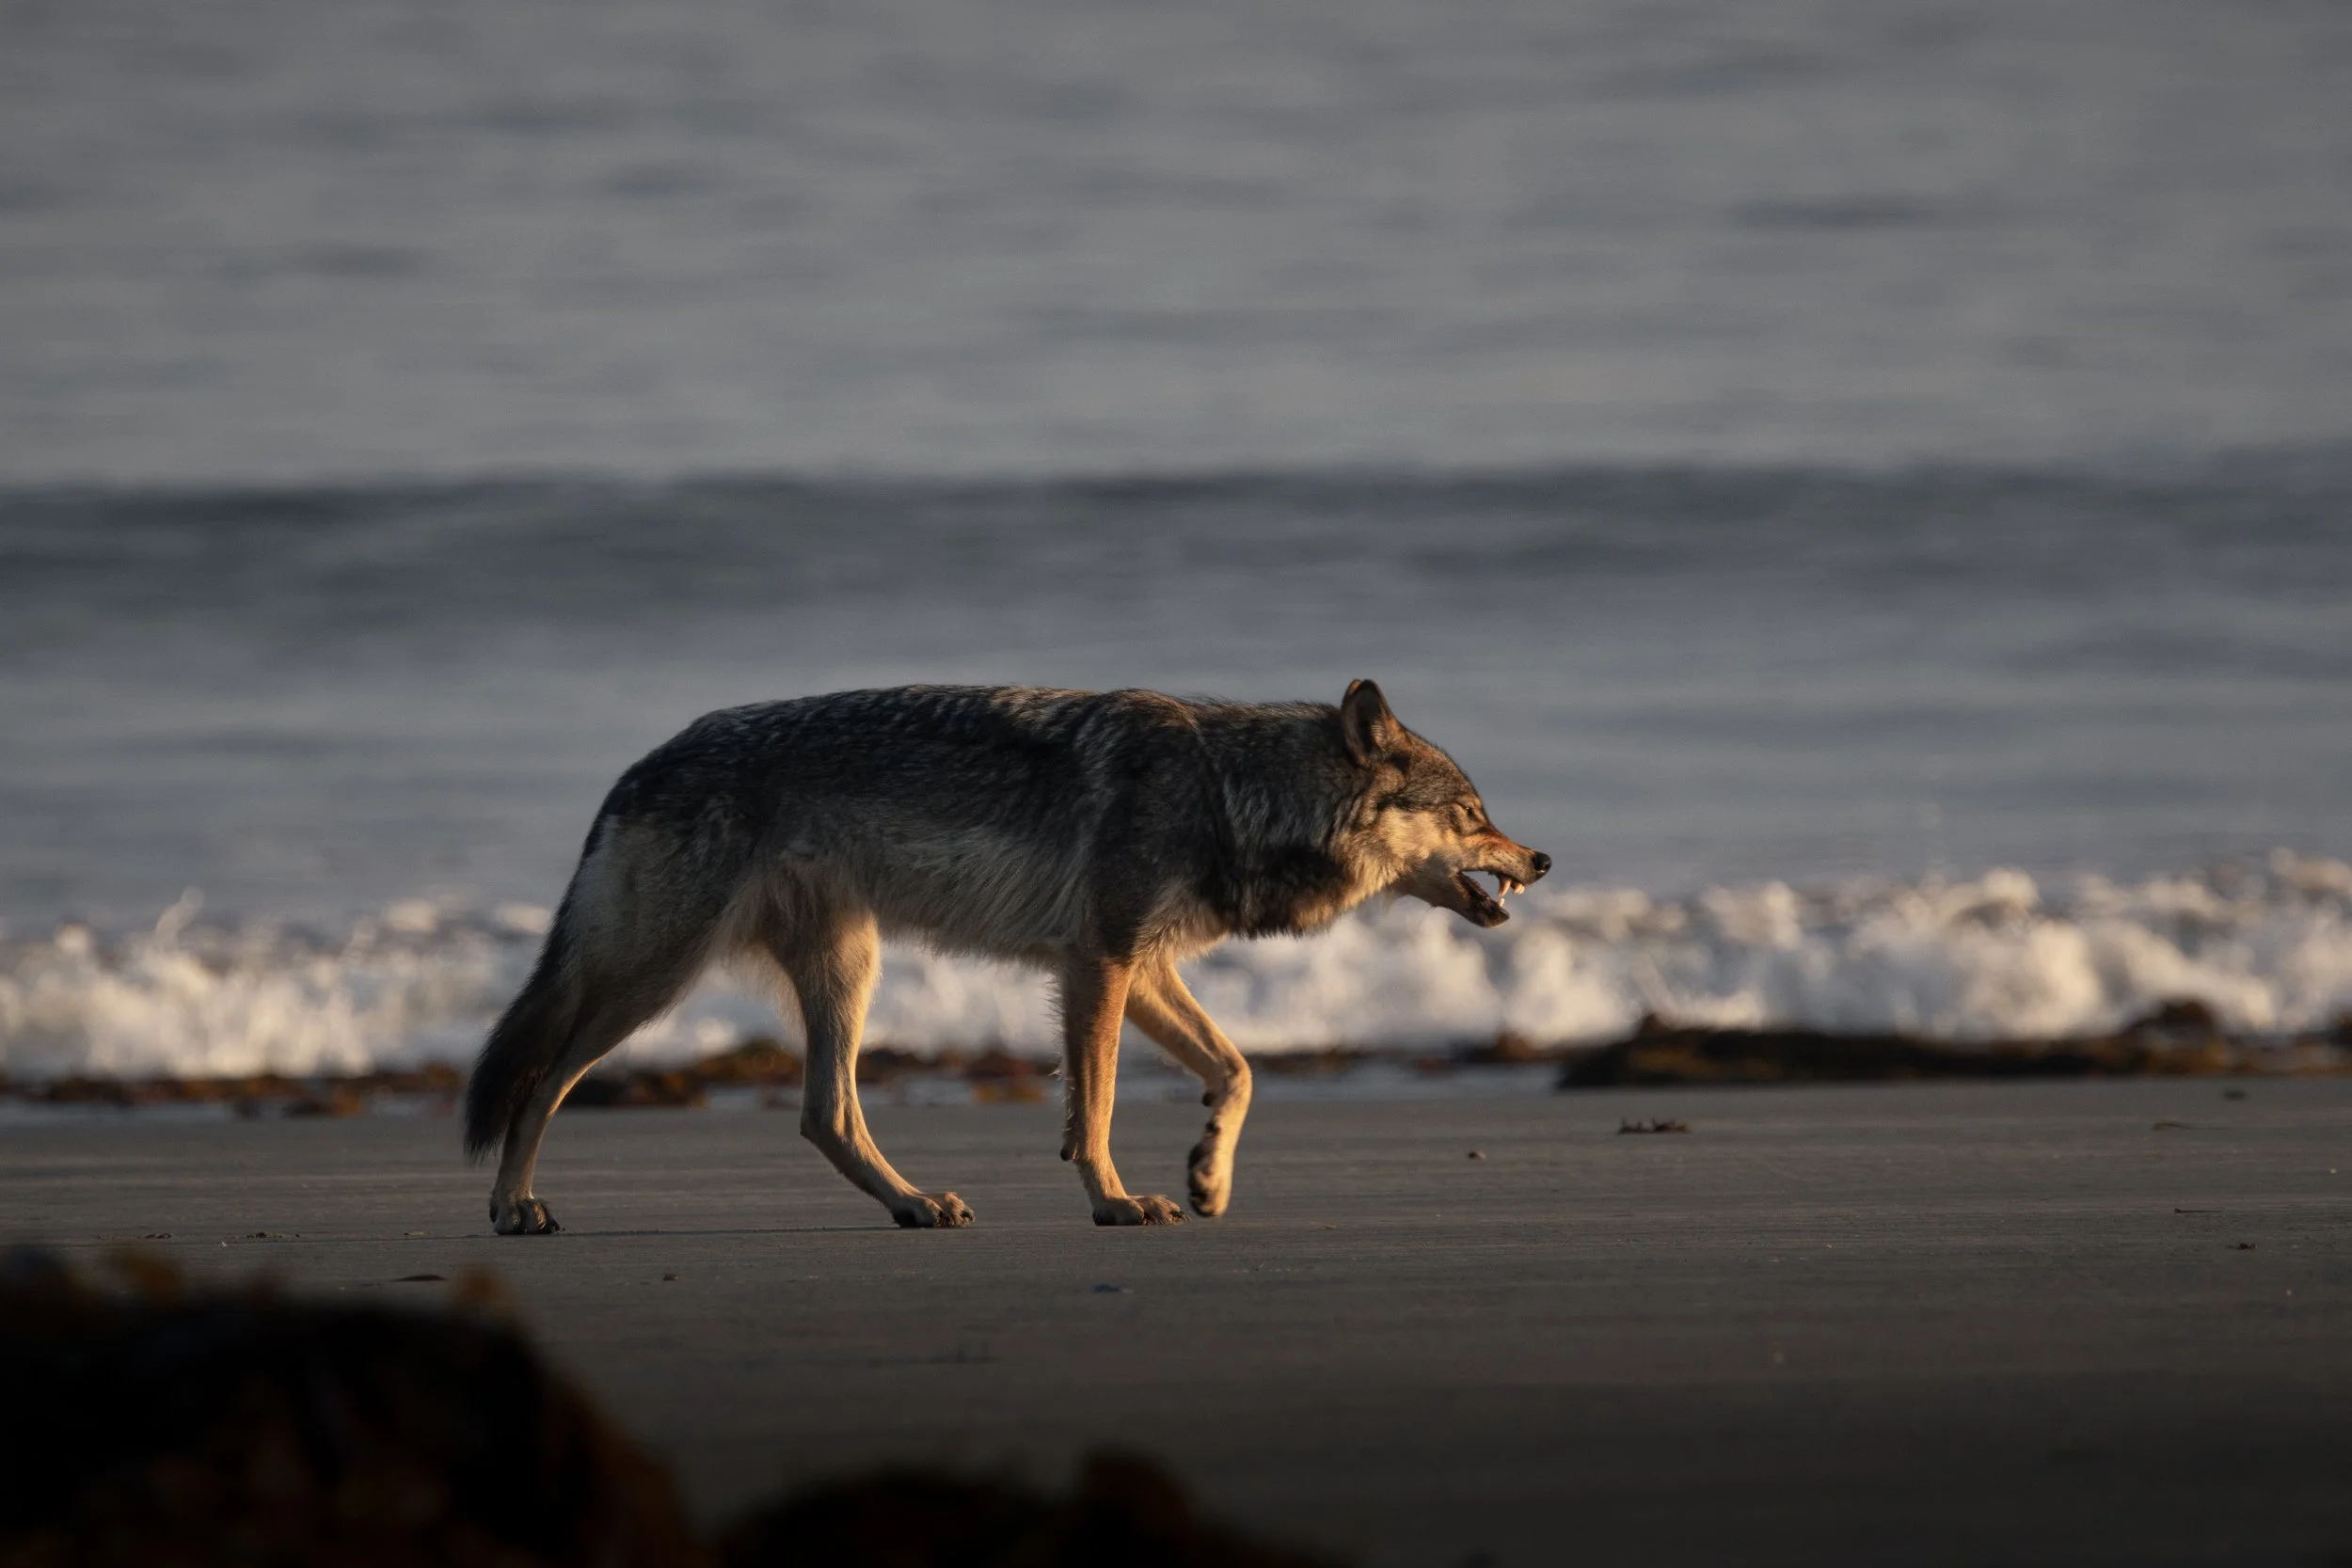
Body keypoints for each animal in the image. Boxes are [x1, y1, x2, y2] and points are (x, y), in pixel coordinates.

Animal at [464, 680, 1548, 1233]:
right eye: (1474, 814)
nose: (1541, 857)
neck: (1227, 790)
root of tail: (637, 766)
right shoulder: (1100, 964)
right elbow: (1097, 1107)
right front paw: (1115, 1200)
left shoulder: (1136, 967)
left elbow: (1236, 1071)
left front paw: (1208, 1173)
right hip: (653, 980)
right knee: (540, 1080)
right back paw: (513, 1205)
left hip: (846, 971)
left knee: (826, 1115)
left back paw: (914, 1204)